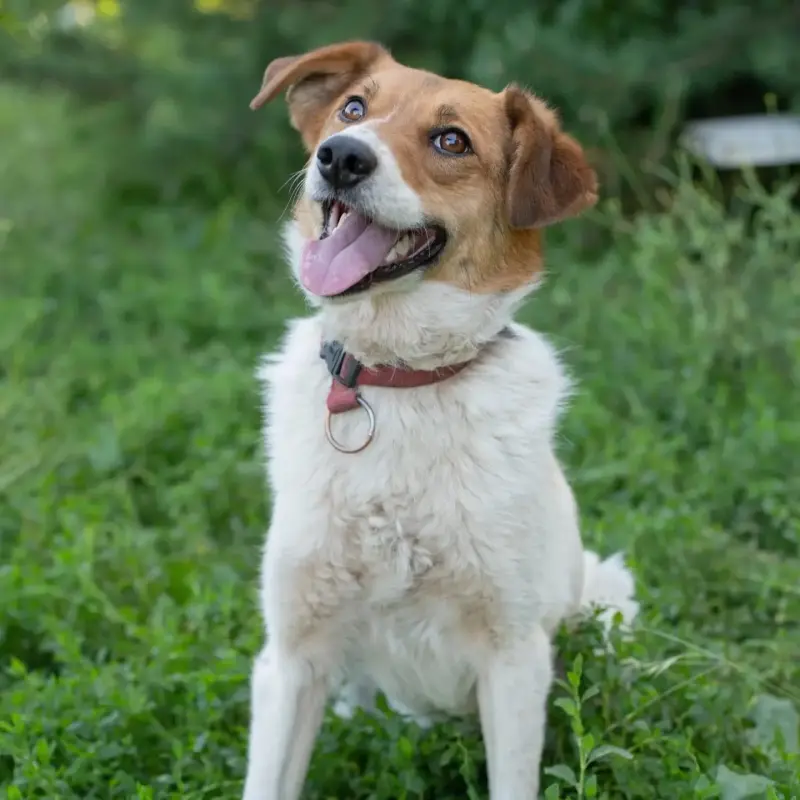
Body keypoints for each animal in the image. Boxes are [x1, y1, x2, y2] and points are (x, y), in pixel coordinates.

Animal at [242, 42, 636, 800]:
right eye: (353, 108)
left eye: (451, 141)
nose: (340, 157)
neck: (399, 381)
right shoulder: (291, 658)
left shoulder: (514, 660)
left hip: (605, 602)